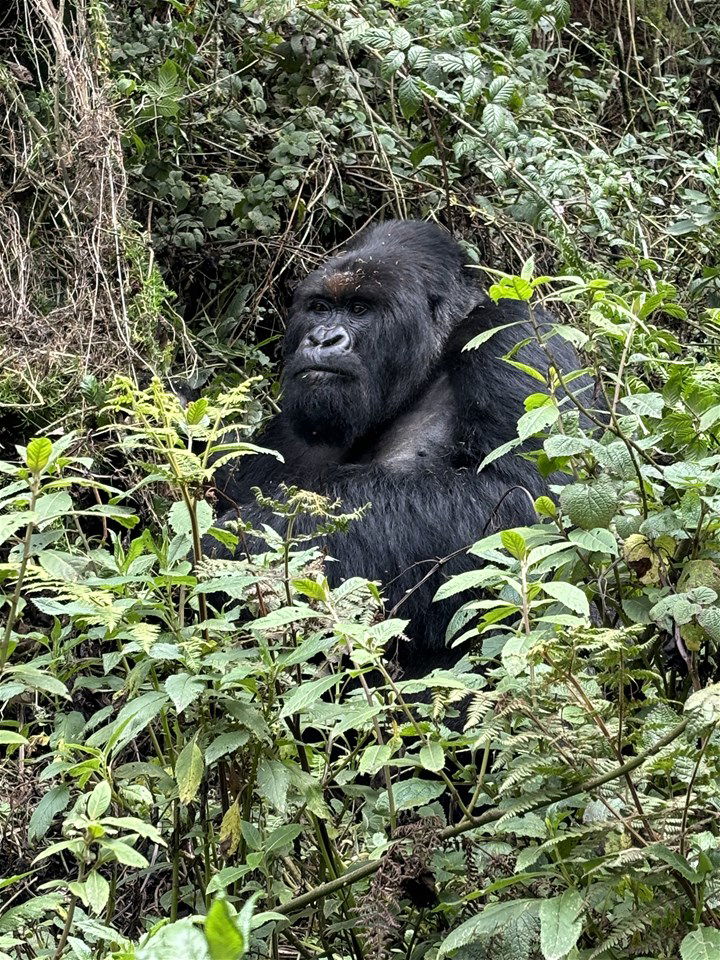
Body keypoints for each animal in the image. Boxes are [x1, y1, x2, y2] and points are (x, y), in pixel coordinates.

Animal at [211, 222, 592, 680]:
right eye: (320, 307)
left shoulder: (512, 332)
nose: (322, 338)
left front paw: (243, 540)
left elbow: (525, 504)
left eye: (360, 309)